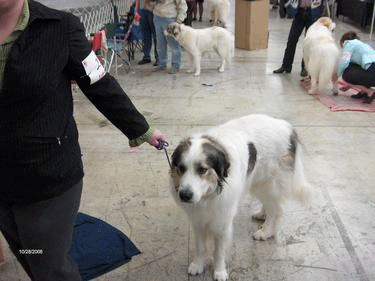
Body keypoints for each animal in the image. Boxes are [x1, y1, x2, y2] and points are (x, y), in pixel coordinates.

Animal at [170, 114, 312, 280]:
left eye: (202, 170)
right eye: (181, 168)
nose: (184, 195)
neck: (209, 194)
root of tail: (288, 127)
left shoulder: (222, 223)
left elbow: (218, 252)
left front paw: (219, 272)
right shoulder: (198, 220)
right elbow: (200, 247)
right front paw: (198, 265)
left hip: (268, 185)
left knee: (275, 209)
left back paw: (266, 231)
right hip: (258, 182)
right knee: (272, 205)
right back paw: (261, 215)